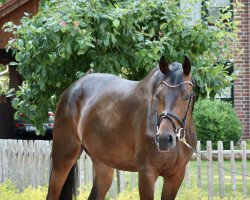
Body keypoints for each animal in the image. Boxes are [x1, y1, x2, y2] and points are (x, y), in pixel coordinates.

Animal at [46, 56, 196, 200]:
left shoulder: (176, 175)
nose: (165, 139)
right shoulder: (146, 173)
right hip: (63, 159)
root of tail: (70, 90)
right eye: (158, 95)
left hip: (103, 165)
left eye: (186, 95)